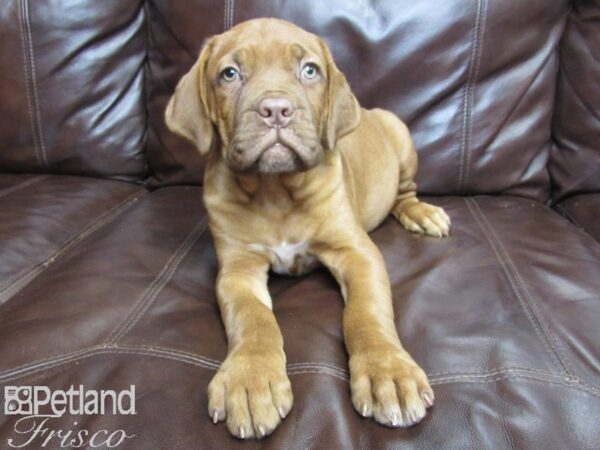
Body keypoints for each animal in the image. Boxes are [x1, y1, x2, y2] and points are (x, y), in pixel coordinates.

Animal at [164, 18, 450, 440]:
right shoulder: (237, 269)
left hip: (399, 134)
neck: (276, 191)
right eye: (229, 74)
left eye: (309, 70)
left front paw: (387, 371)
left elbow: (366, 311)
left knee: (405, 192)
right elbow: (253, 317)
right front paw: (250, 379)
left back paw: (421, 213)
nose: (275, 110)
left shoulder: (356, 252)